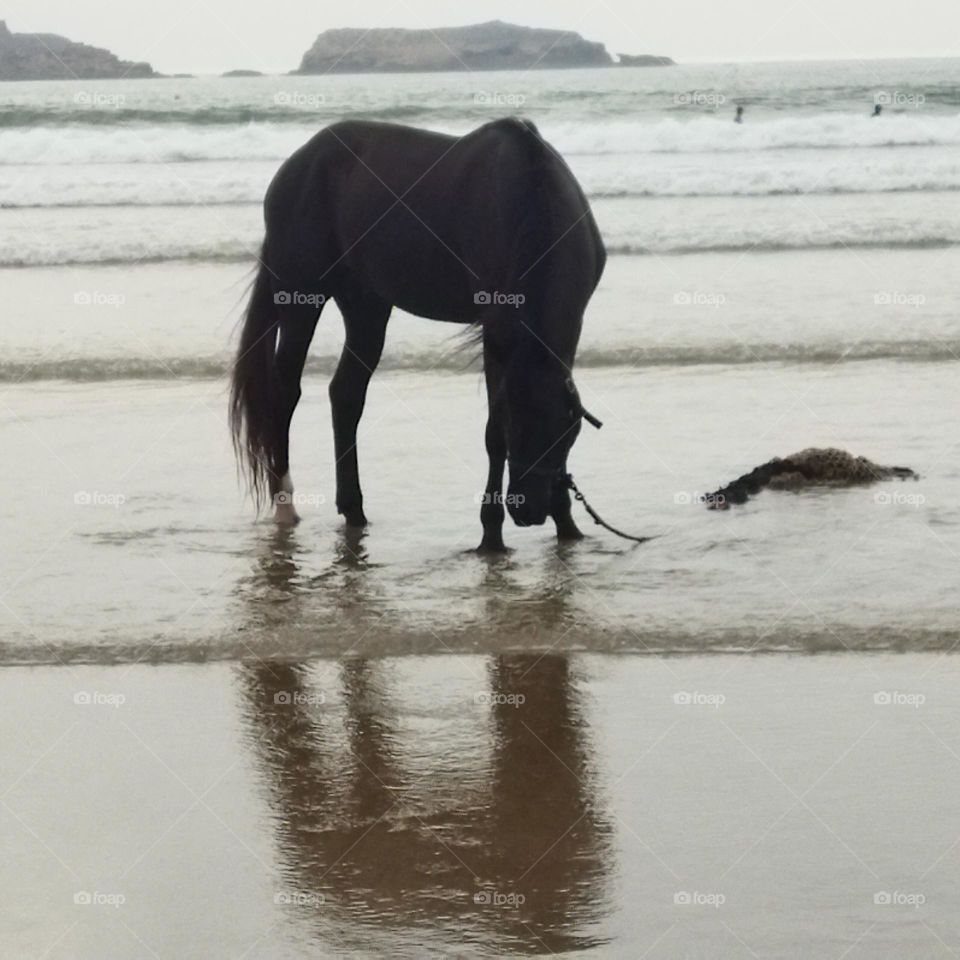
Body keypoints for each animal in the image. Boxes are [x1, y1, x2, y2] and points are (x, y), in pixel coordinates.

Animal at [231, 117, 608, 552]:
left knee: (346, 394)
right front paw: (491, 534)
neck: (530, 199)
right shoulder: (496, 334)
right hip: (301, 299)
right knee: (284, 393)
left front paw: (567, 525)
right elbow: (492, 433)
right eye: (518, 427)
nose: (528, 511)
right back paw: (286, 506)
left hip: (366, 304)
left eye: (565, 434)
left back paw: (355, 511)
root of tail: (296, 166)